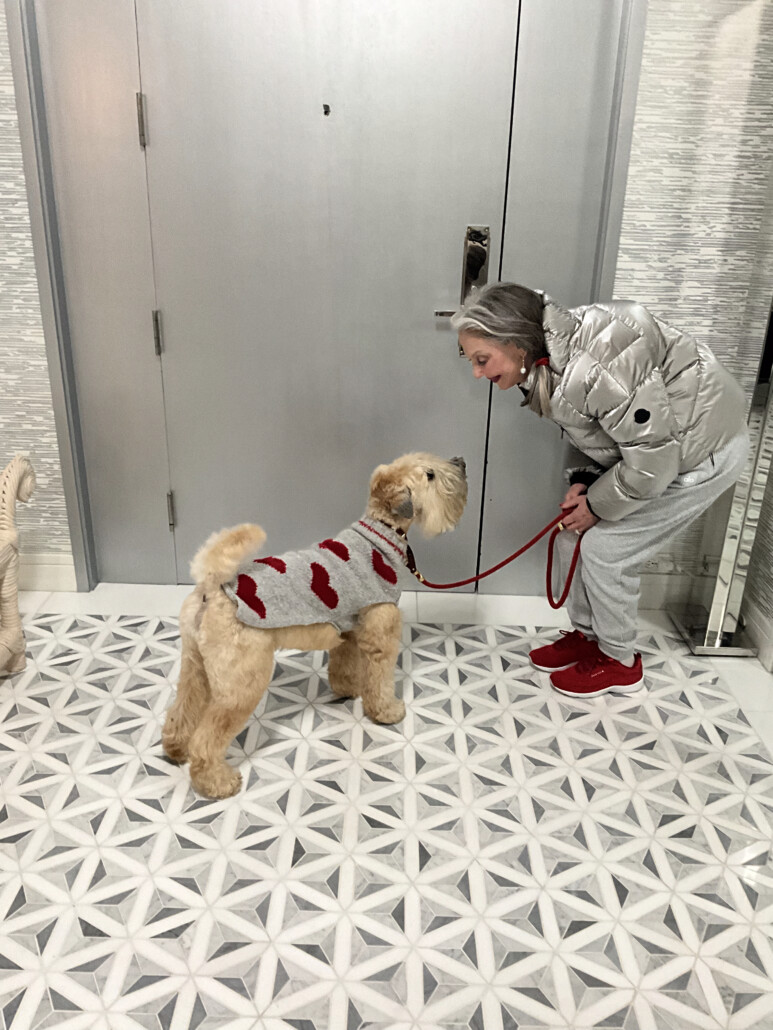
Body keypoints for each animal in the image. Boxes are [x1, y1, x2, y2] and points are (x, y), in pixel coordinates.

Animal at [161, 455, 465, 799]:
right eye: (430, 474)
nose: (461, 462)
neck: (380, 532)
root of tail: (213, 587)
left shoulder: (348, 628)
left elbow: (344, 665)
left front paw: (349, 688)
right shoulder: (381, 633)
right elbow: (380, 680)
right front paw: (387, 711)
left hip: (195, 667)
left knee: (182, 711)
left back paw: (176, 747)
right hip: (240, 684)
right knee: (207, 740)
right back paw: (218, 781)